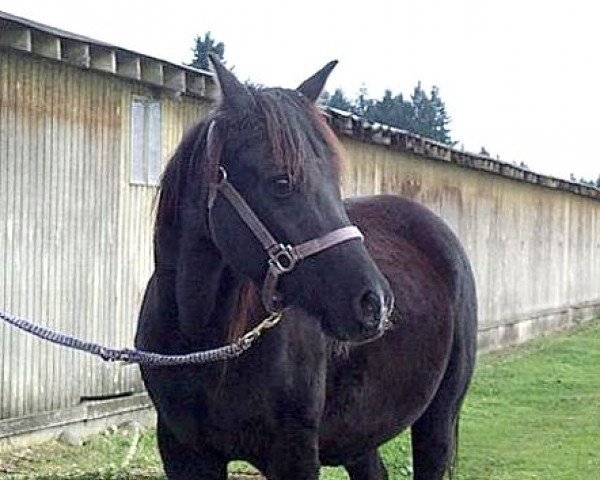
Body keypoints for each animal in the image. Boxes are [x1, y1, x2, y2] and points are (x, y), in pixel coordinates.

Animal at [136, 57, 478, 480]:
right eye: (281, 181)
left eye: (333, 178)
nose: (376, 303)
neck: (202, 346)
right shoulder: (184, 454)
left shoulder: (294, 455)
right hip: (359, 431)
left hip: (438, 418)